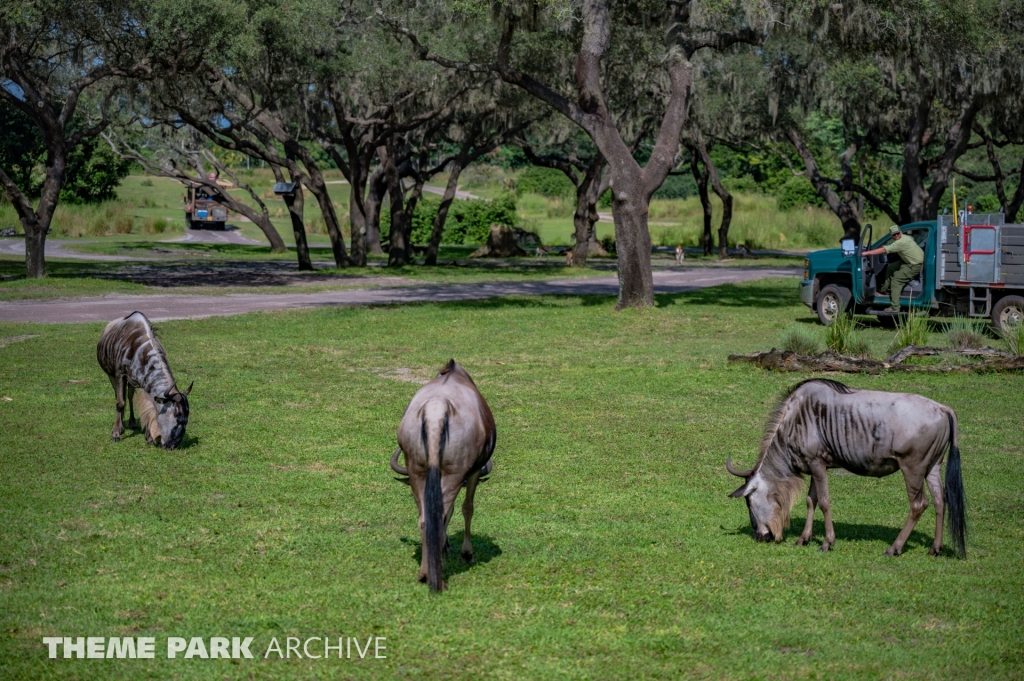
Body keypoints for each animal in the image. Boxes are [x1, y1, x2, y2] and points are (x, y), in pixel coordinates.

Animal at [96, 311, 192, 448]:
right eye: (176, 415)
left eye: (186, 419)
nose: (172, 445)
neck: (139, 353)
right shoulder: (120, 375)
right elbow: (120, 403)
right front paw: (116, 433)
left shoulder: (145, 383)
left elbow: (148, 407)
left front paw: (150, 438)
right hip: (112, 375)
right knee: (119, 398)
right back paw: (120, 426)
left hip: (131, 381)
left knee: (129, 397)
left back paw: (132, 423)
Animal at [391, 360, 495, 589]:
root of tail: (436, 409)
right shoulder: (472, 473)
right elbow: (466, 508)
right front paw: (467, 553)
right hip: (452, 473)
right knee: (440, 515)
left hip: (416, 471)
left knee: (425, 519)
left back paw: (424, 574)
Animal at [724, 376, 962, 557]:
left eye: (749, 502)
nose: (760, 537)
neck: (796, 419)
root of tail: (943, 409)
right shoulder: (814, 466)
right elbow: (811, 500)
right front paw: (803, 538)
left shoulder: (817, 464)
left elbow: (824, 502)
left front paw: (827, 543)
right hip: (932, 467)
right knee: (940, 501)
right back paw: (935, 548)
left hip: (912, 469)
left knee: (919, 504)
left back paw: (894, 548)